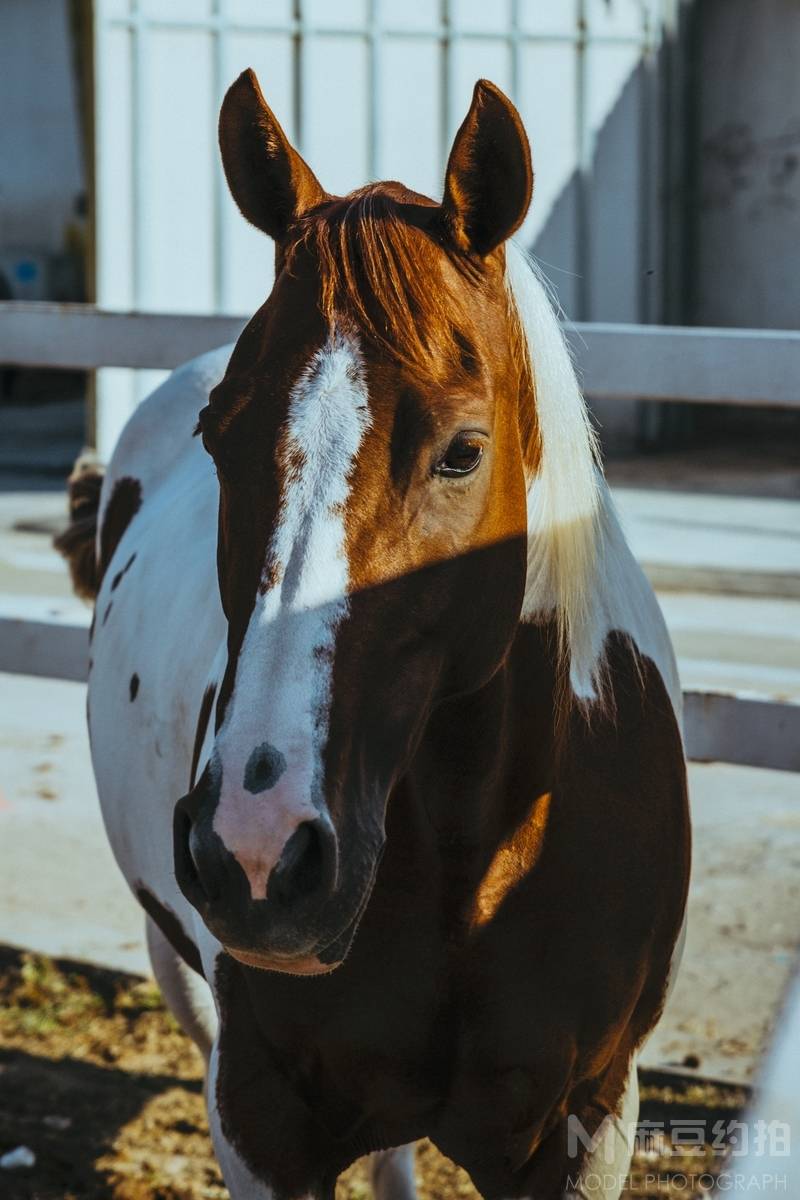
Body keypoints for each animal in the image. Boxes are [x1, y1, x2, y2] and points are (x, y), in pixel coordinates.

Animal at [59, 70, 690, 1195]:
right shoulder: (258, 1116)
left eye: (462, 450)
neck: (479, 853)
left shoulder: (590, 1117)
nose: (257, 852)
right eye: (219, 435)